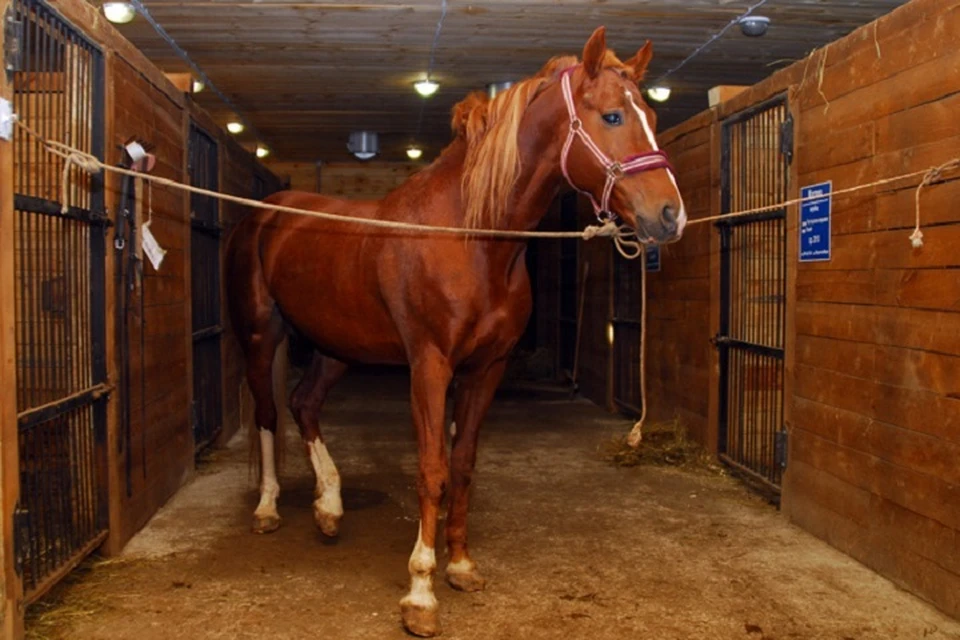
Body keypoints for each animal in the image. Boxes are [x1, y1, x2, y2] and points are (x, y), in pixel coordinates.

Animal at [225, 26, 688, 636]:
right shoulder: (430, 365)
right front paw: (420, 593)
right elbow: (432, 469)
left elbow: (464, 464)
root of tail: (267, 210)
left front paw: (461, 566)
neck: (470, 236)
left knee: (304, 404)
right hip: (260, 335)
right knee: (268, 413)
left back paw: (329, 507)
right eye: (612, 115)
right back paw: (268, 508)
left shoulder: (486, 368)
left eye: (652, 118)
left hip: (336, 346)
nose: (670, 215)